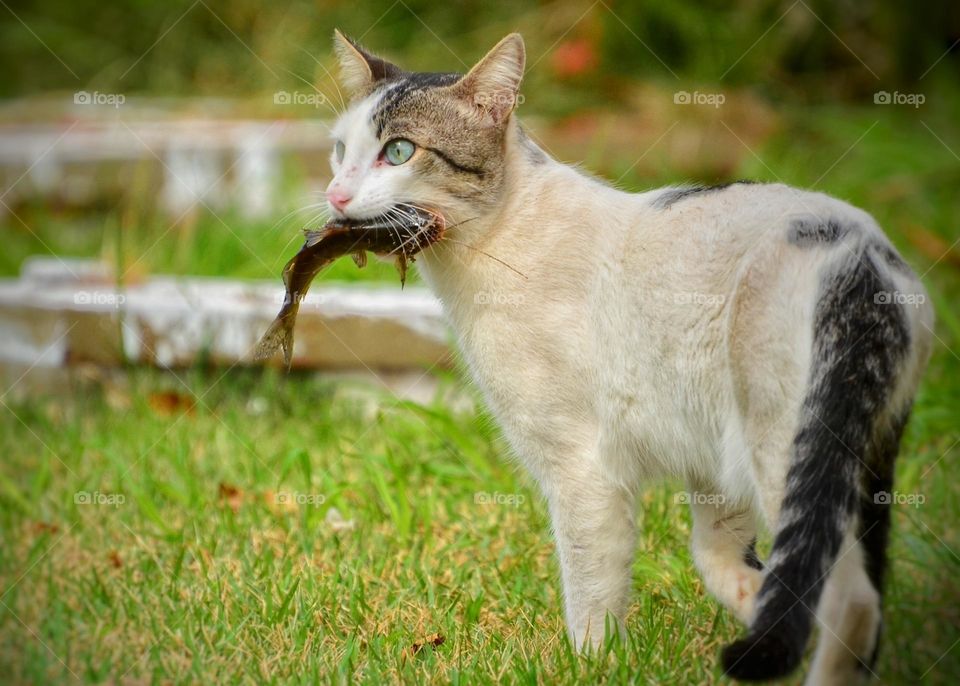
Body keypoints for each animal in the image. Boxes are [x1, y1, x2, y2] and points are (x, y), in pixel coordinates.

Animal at [326, 29, 932, 684]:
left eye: (399, 151)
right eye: (339, 150)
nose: (335, 194)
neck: (500, 233)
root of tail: (862, 254)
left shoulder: (582, 467)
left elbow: (591, 587)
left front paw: (591, 664)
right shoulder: (709, 458)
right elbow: (723, 559)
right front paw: (753, 602)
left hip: (787, 446)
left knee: (853, 600)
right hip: (858, 458)